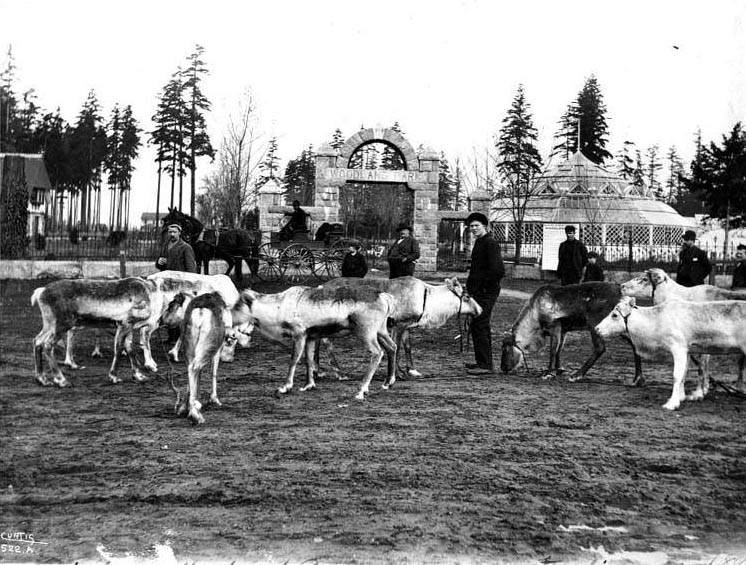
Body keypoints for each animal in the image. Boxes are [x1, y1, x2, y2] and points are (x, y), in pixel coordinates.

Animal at [502, 280, 644, 386]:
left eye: (506, 349)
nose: (503, 368)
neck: (534, 315)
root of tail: (623, 295)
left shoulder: (555, 327)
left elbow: (552, 351)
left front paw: (548, 373)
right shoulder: (563, 330)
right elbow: (559, 350)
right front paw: (558, 370)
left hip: (595, 324)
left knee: (599, 347)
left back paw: (576, 375)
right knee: (634, 344)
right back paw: (637, 379)